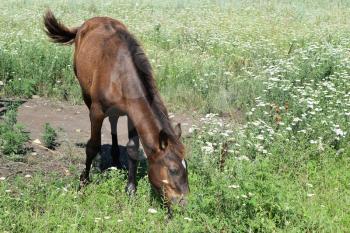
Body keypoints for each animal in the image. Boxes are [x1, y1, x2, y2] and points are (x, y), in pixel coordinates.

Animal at [45, 10, 190, 208]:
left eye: (186, 167)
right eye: (173, 169)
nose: (184, 202)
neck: (120, 74)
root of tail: (85, 24)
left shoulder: (132, 114)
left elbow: (132, 149)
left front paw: (131, 189)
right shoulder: (96, 111)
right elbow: (92, 145)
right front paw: (83, 181)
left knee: (113, 120)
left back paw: (115, 157)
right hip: (85, 93)